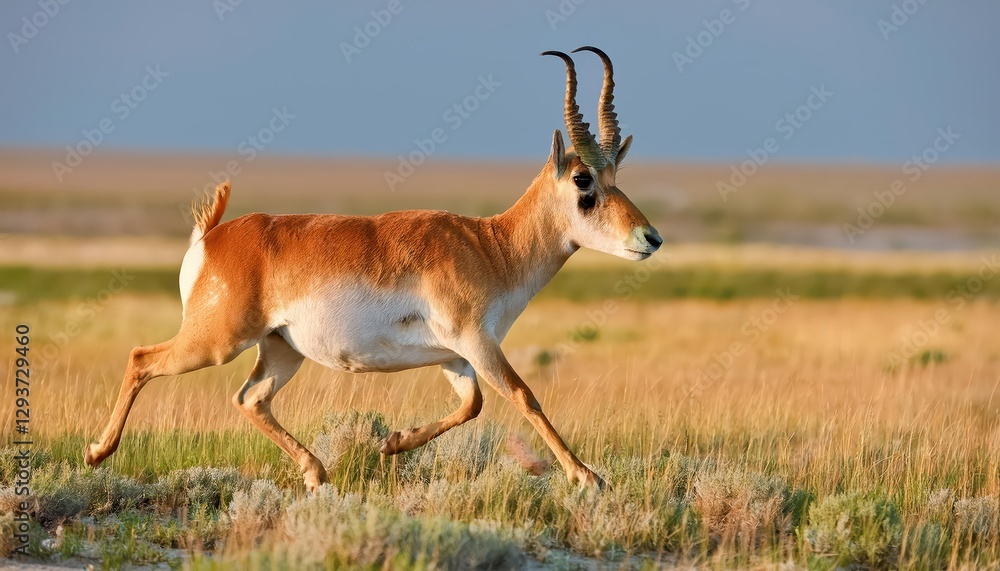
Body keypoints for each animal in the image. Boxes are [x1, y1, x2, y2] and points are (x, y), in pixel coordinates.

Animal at [84, 47, 662, 490]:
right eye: (584, 180)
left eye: (617, 175)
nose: (650, 239)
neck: (490, 245)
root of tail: (212, 235)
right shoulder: (477, 342)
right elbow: (524, 396)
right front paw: (588, 477)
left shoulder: (456, 355)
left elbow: (472, 405)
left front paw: (391, 444)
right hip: (216, 342)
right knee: (141, 358)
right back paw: (96, 453)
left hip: (281, 351)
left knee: (249, 399)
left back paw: (317, 473)